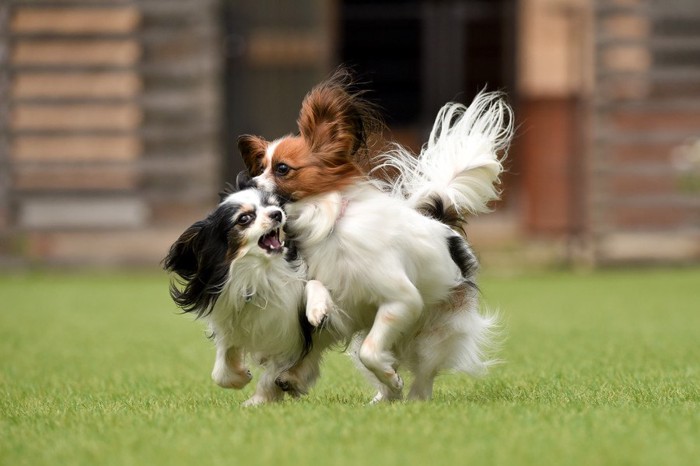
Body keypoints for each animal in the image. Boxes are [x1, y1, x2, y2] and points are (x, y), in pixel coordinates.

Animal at [165, 184, 338, 406]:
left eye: (273, 205)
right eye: (244, 218)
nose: (277, 213)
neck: (258, 274)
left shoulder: (289, 336)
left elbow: (271, 374)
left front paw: (258, 401)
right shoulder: (229, 327)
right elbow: (220, 369)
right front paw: (241, 377)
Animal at [238, 71, 512, 402]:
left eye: (281, 169)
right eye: (259, 167)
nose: (247, 181)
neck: (331, 223)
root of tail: (441, 220)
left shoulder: (401, 300)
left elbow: (371, 352)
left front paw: (394, 381)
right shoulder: (338, 297)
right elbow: (317, 293)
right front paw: (317, 308)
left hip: (437, 332)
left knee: (423, 372)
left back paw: (412, 398)